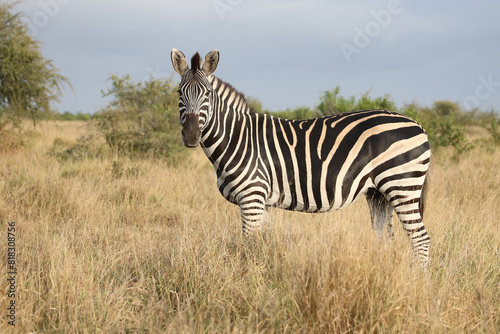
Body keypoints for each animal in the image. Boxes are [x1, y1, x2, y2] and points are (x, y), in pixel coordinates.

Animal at [170, 48, 432, 264]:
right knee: (385, 238)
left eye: (207, 93)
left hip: (402, 185)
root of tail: (417, 124)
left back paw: (418, 281)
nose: (191, 135)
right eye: (179, 93)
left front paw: (249, 280)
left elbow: (248, 246)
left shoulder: (252, 197)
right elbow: (263, 244)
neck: (238, 138)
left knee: (421, 239)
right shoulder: (265, 202)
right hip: (379, 193)